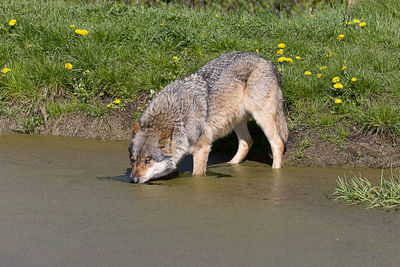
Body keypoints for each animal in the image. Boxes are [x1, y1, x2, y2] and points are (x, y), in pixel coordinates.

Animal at [130, 51, 290, 183]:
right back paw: (229, 165)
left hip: (262, 117)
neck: (177, 115)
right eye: (133, 160)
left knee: (277, 143)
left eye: (147, 160)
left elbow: (197, 175)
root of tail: (268, 61)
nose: (134, 180)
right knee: (247, 142)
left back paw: (276, 170)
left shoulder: (203, 146)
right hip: (236, 121)